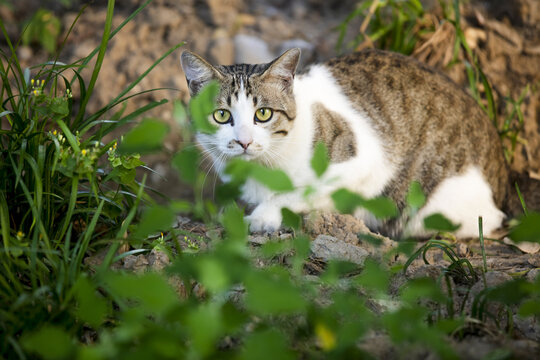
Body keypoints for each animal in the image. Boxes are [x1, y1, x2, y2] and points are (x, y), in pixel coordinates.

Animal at [180, 47, 532, 239]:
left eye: (263, 114)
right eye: (222, 115)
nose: (243, 141)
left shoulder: (365, 161)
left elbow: (299, 191)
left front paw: (263, 216)